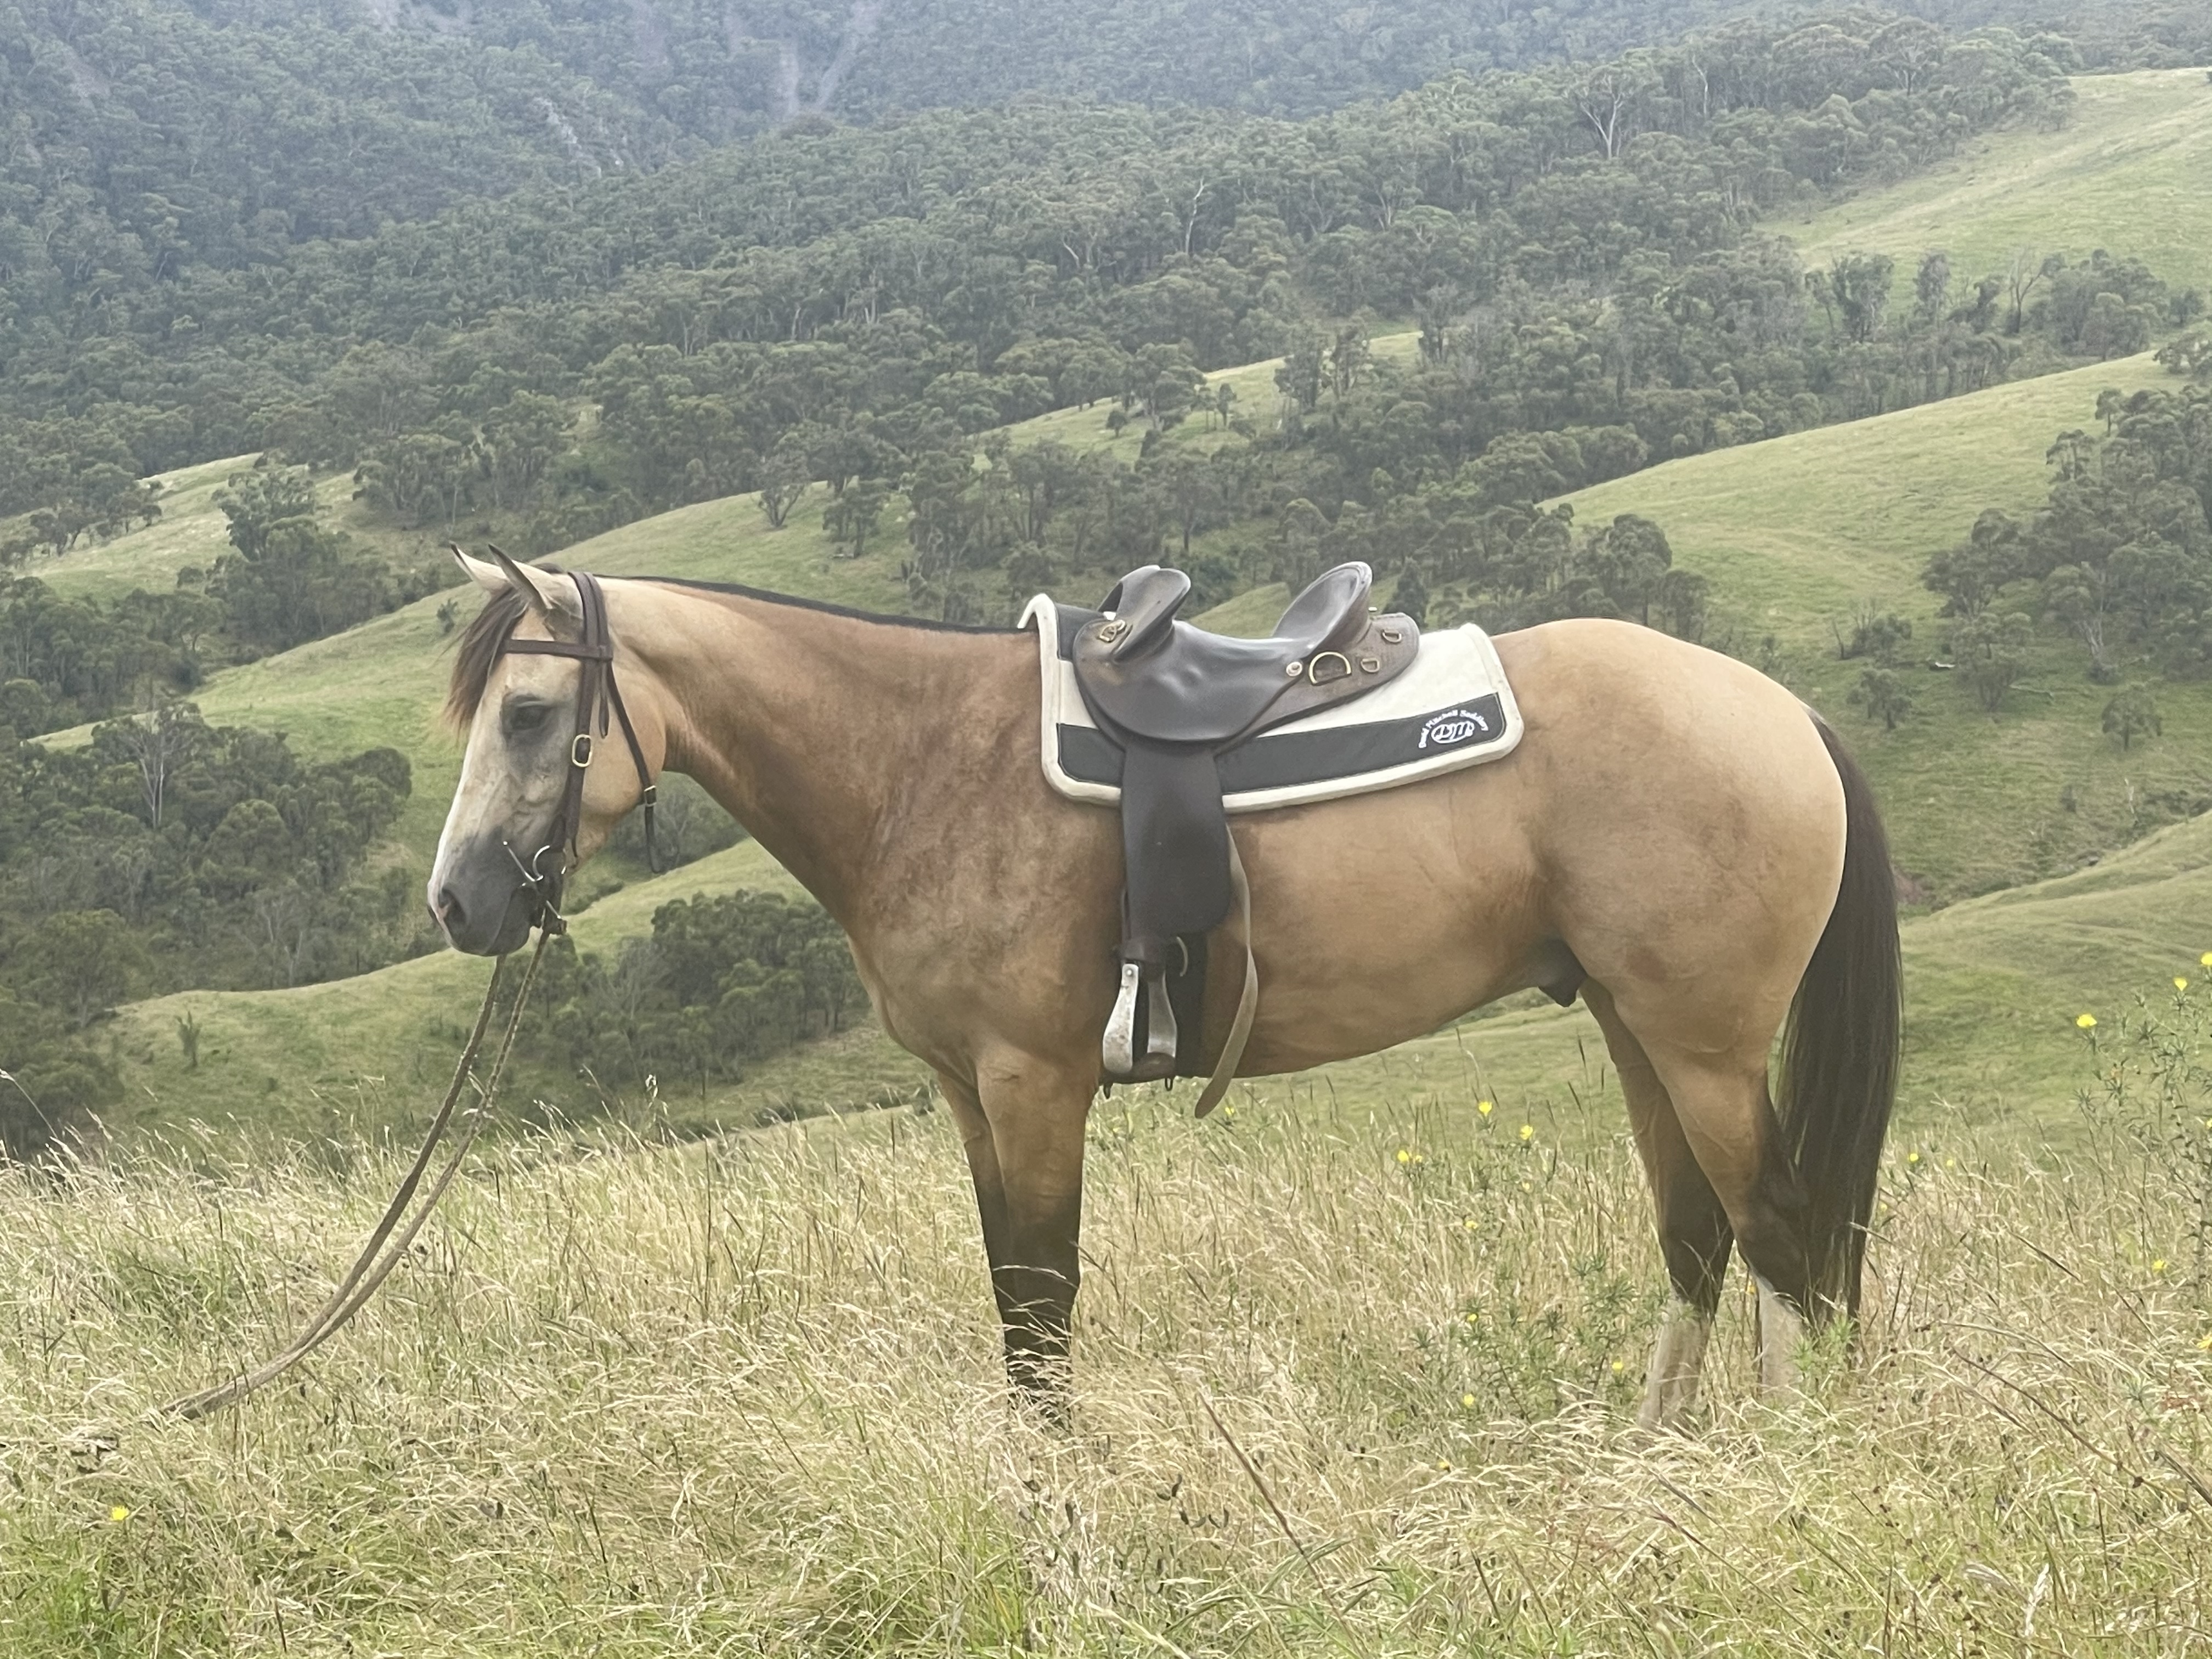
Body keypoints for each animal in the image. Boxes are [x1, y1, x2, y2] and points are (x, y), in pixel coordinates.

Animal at [428, 549, 1900, 1430]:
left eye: (526, 716)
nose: (458, 902)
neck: (922, 765)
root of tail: (1782, 710)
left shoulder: (1033, 1083)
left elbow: (1043, 1297)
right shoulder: (970, 1096)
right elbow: (1013, 1302)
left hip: (1705, 1045)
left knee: (1780, 1234)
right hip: (1634, 1025)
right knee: (1700, 1239)